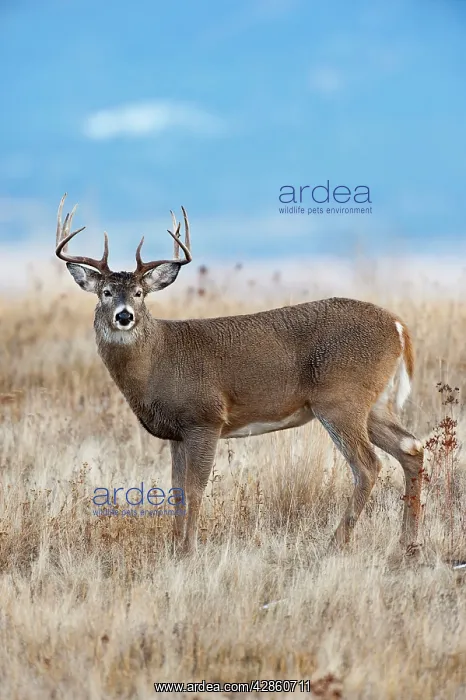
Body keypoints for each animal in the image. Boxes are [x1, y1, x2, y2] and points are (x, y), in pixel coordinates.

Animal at [55, 193, 425, 556]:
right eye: (105, 292)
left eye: (139, 293)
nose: (124, 316)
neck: (158, 360)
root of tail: (398, 326)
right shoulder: (177, 432)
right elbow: (176, 489)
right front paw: (173, 546)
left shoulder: (205, 418)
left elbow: (195, 488)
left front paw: (189, 549)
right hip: (372, 404)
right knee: (411, 448)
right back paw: (406, 543)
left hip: (341, 399)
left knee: (368, 465)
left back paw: (336, 543)